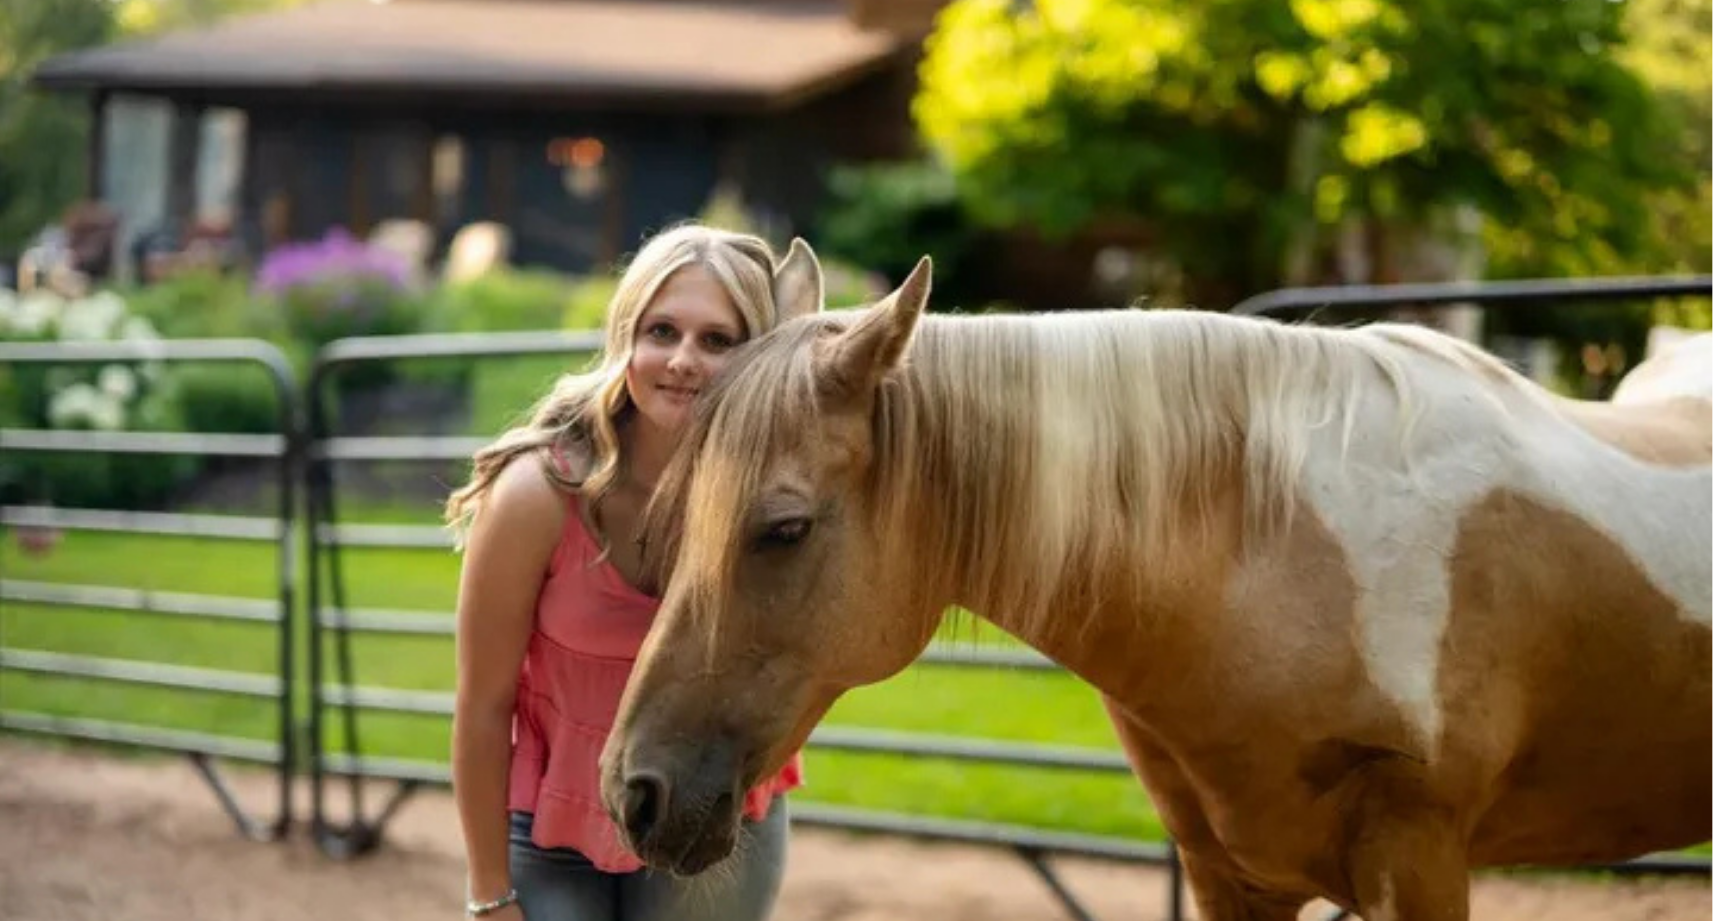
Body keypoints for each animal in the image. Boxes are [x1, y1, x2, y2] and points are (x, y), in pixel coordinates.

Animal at [599, 249, 1711, 920]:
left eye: (783, 528)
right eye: (667, 516)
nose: (631, 792)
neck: (1288, 560)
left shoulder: (1422, 860)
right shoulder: (1232, 876)